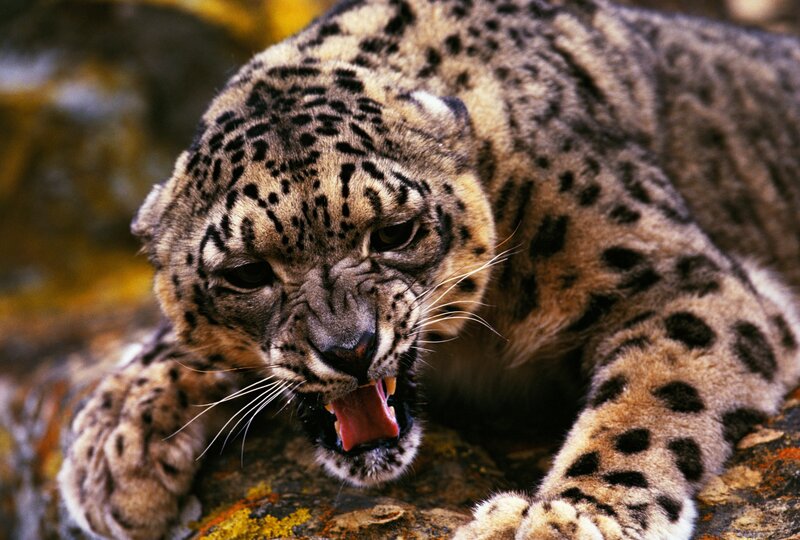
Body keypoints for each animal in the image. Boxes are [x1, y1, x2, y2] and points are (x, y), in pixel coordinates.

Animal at [57, 0, 800, 538]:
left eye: (395, 232)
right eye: (246, 273)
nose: (350, 349)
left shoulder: (675, 279)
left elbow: (646, 408)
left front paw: (565, 520)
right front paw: (112, 451)